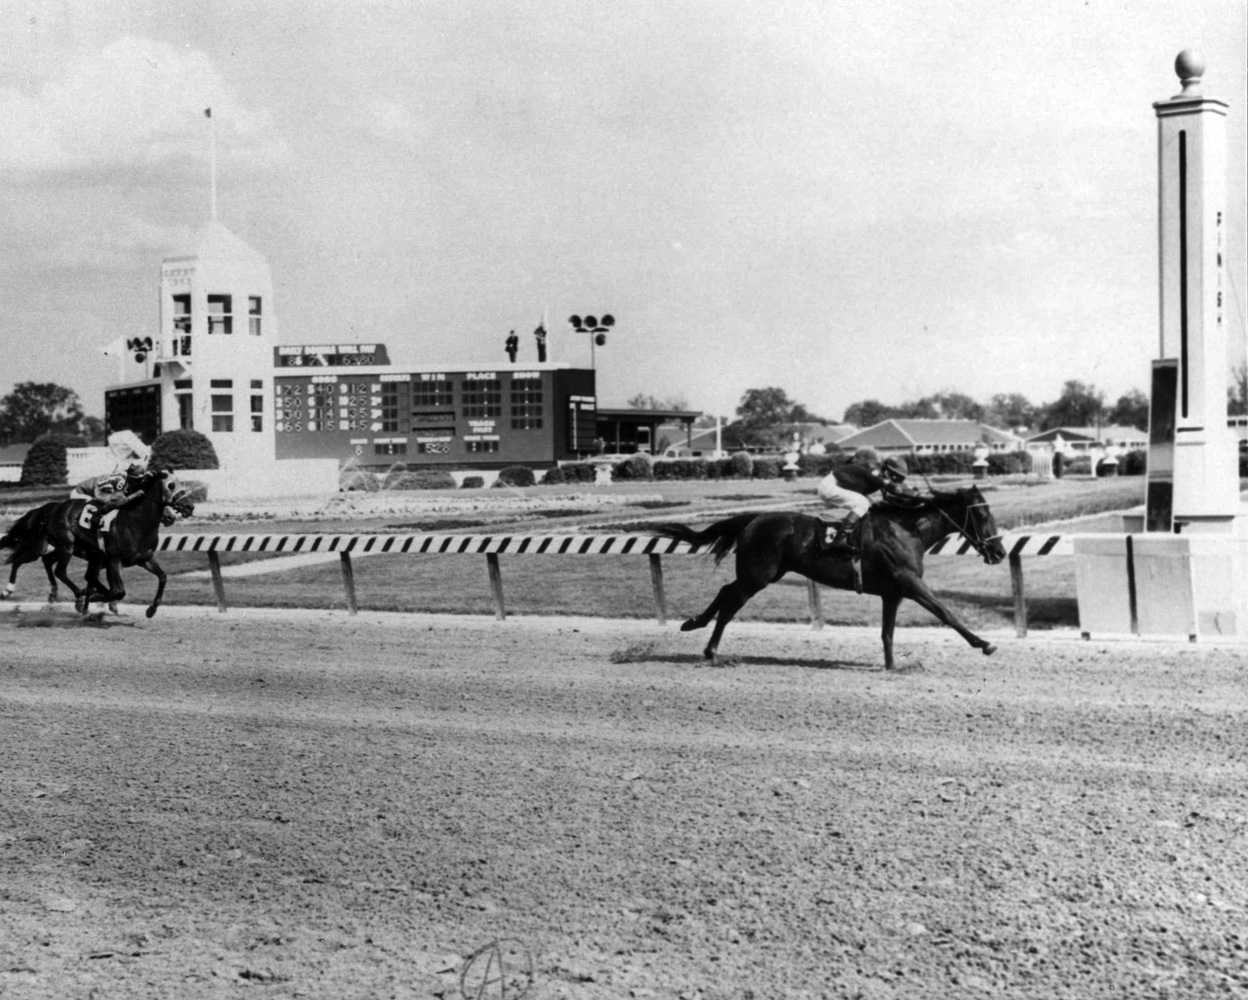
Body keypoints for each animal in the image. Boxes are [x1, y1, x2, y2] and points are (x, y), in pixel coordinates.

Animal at [658, 486, 1008, 669]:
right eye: (981, 514)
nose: (1000, 552)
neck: (906, 531)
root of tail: (754, 518)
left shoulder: (892, 593)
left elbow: (887, 632)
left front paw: (891, 665)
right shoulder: (910, 583)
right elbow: (945, 612)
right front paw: (985, 643)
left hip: (761, 574)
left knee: (725, 592)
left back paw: (695, 626)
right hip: (757, 576)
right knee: (730, 601)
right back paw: (709, 646)